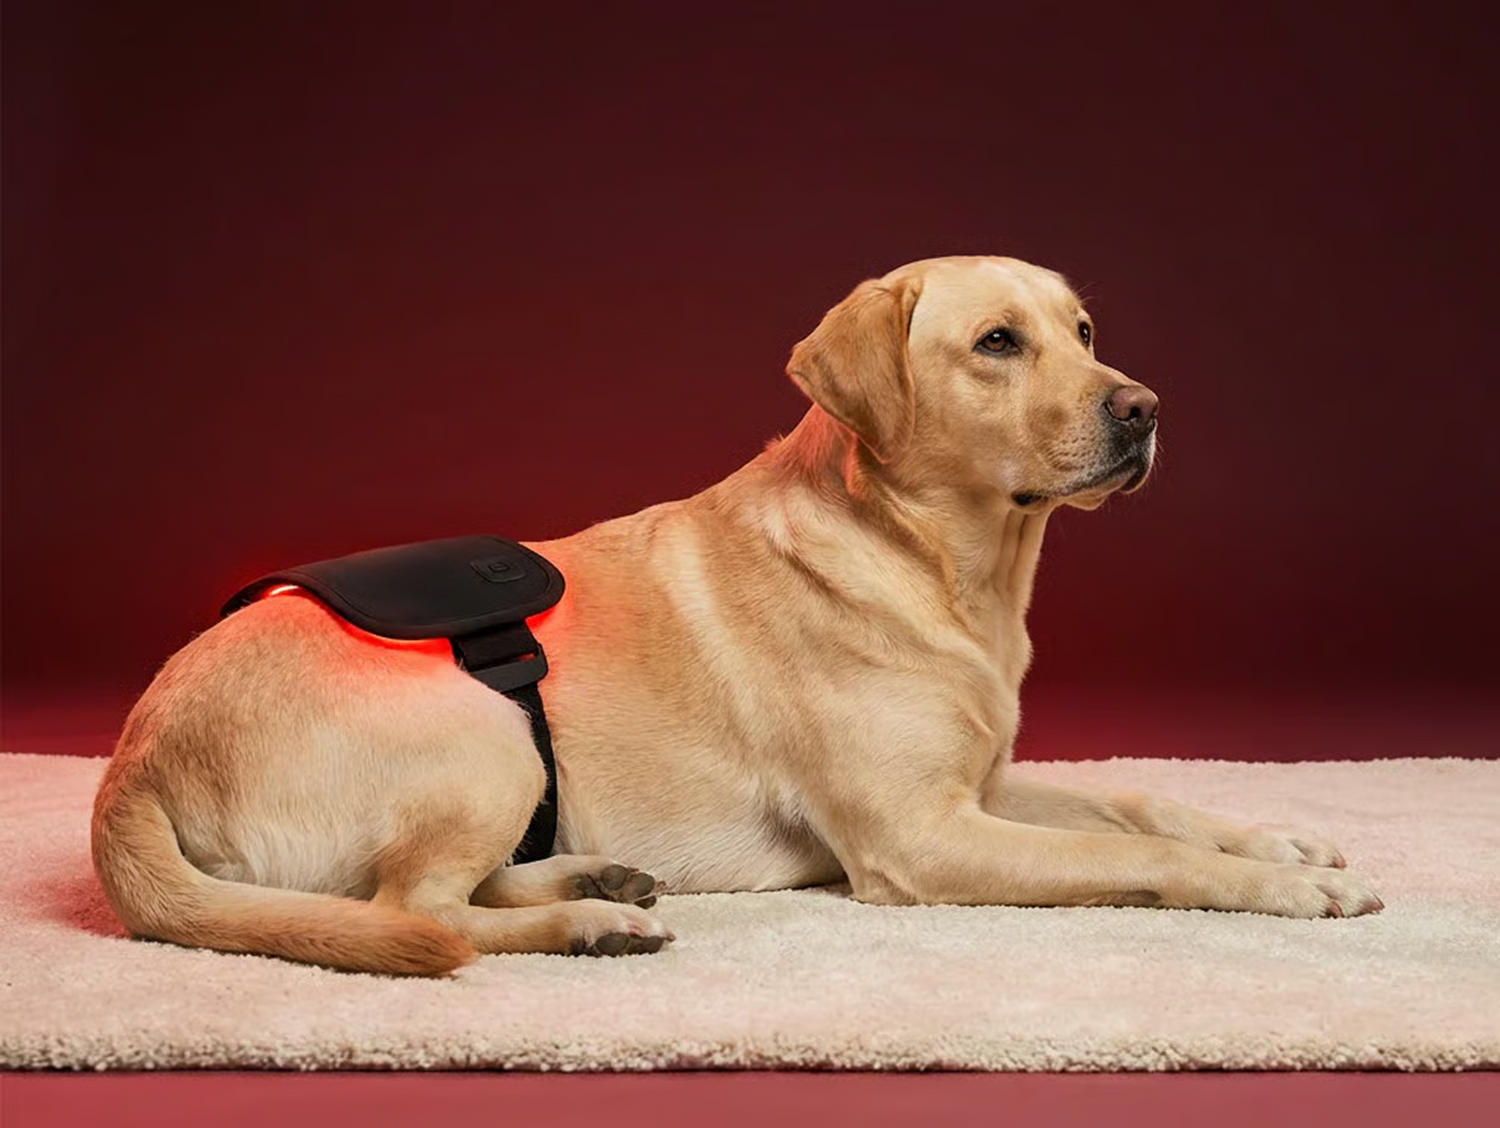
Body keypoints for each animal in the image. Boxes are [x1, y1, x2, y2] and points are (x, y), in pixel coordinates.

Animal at [92, 255, 1383, 975]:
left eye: (1084, 333)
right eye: (996, 343)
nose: (1147, 408)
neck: (934, 562)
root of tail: (131, 768)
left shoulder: (981, 783)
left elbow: (1139, 802)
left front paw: (1277, 842)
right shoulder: (921, 838)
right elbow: (1141, 853)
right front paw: (1285, 891)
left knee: (440, 895)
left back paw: (600, 883)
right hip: (483, 730)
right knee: (420, 914)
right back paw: (589, 928)